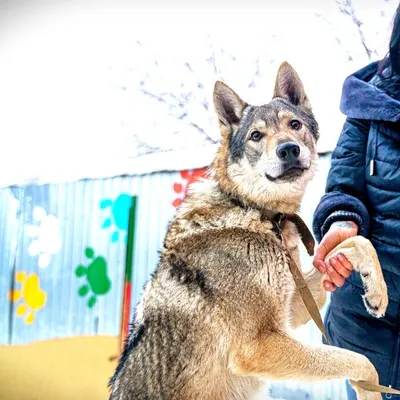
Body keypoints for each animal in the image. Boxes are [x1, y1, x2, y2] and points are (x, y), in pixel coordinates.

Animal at [108, 62, 388, 400]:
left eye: (294, 124)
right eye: (256, 135)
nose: (289, 149)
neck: (252, 209)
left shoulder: (289, 310)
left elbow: (356, 242)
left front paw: (377, 291)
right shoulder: (259, 345)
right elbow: (361, 360)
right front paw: (369, 392)